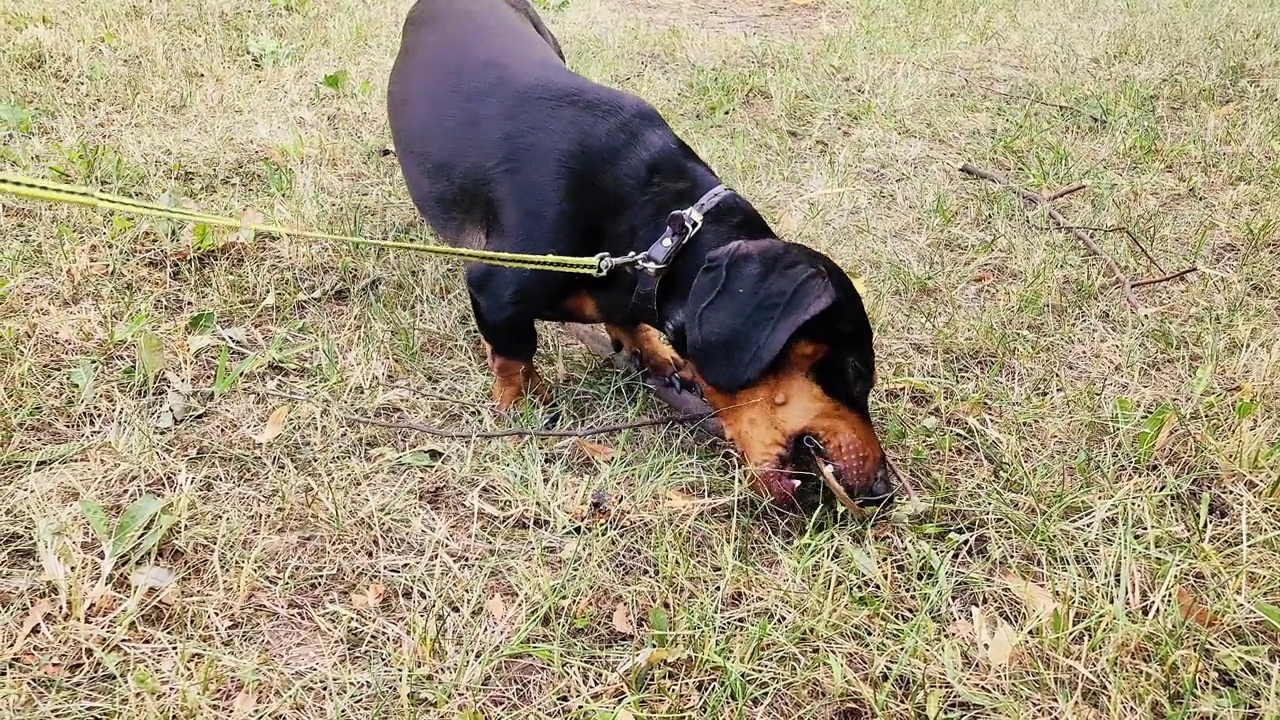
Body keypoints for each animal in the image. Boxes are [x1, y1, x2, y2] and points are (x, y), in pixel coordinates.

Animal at [384, 1, 896, 515]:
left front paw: (653, 352)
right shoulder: (495, 287)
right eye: (856, 370)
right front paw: (520, 405)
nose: (883, 490)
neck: (661, 238)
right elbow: (514, 355)